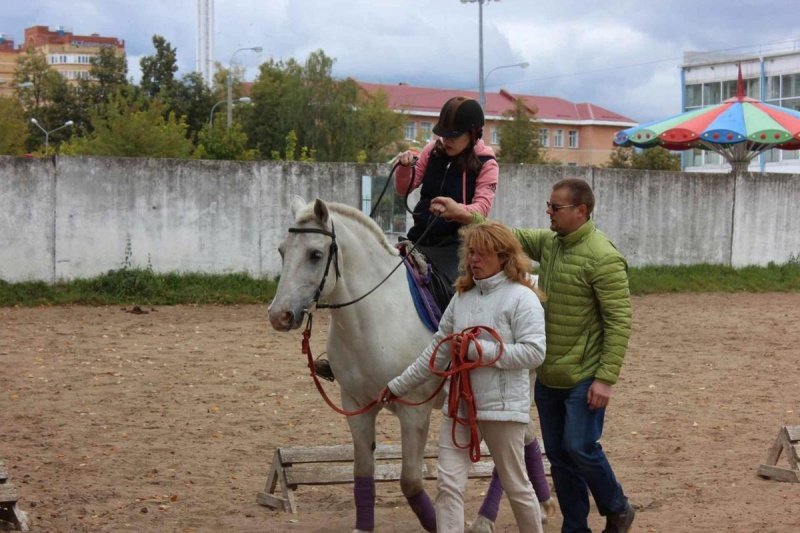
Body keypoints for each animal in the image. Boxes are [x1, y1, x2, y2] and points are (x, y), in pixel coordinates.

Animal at [268, 197, 444, 528]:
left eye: (315, 254)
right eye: (282, 251)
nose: (278, 315)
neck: (375, 316)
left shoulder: (415, 410)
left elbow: (411, 482)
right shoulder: (356, 406)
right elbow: (362, 475)